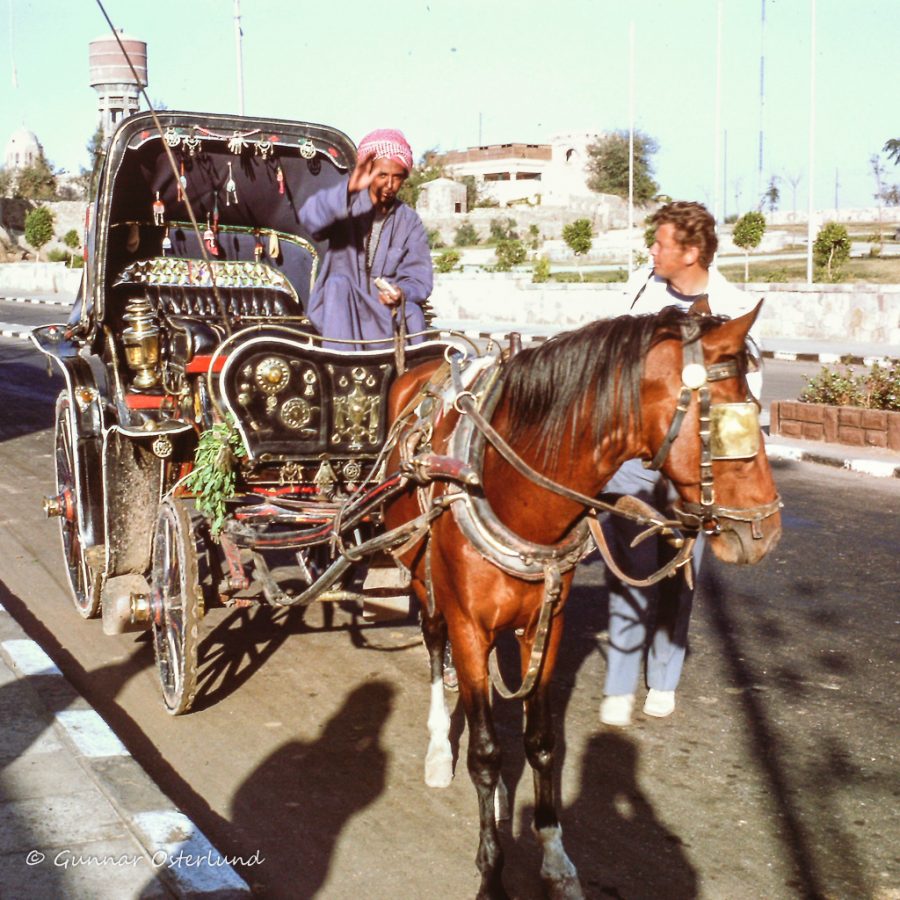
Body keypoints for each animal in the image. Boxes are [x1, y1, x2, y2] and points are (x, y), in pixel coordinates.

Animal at [380, 306, 780, 896]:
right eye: (733, 423)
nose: (766, 532)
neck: (505, 487)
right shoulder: (468, 625)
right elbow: (485, 752)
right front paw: (491, 872)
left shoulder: (549, 625)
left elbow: (542, 742)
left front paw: (554, 855)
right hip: (422, 575)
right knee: (433, 642)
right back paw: (437, 748)